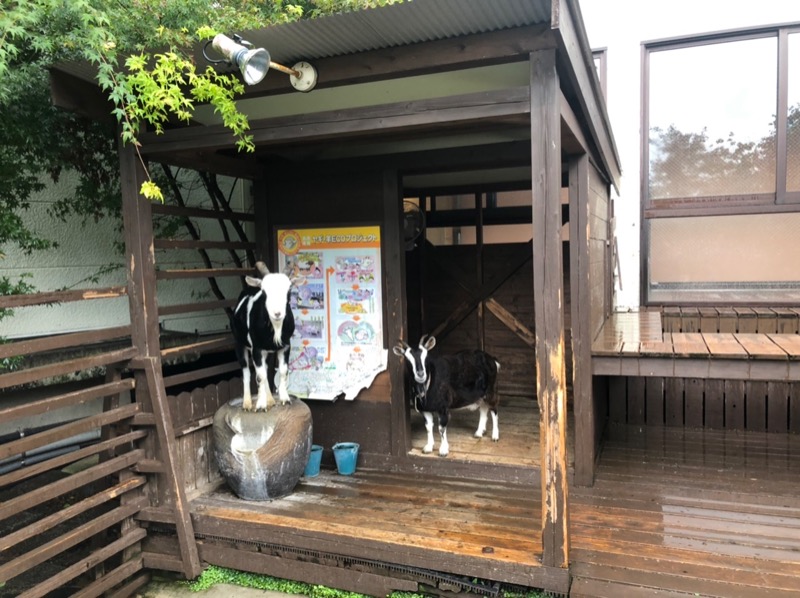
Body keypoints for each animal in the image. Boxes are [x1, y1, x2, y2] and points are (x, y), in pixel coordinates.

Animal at [231, 262, 296, 412]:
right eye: (264, 292)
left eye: (289, 290)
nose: (277, 313)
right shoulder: (257, 348)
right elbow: (259, 376)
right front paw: (260, 405)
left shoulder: (285, 346)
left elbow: (283, 371)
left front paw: (285, 399)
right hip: (239, 344)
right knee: (246, 371)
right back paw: (247, 403)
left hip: (267, 352)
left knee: (265, 370)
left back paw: (271, 400)